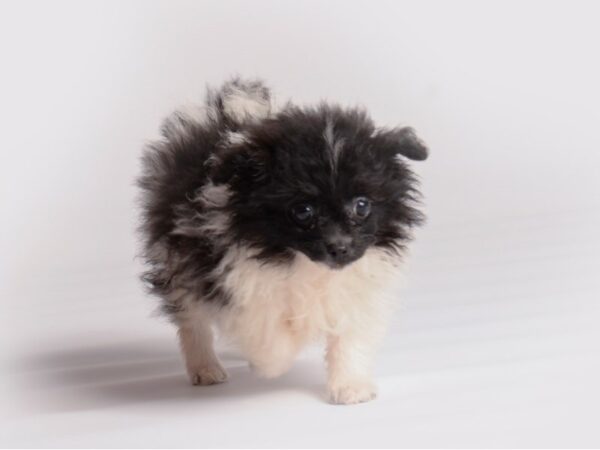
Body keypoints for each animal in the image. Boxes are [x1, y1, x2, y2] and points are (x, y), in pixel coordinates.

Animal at [137, 77, 426, 404]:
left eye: (362, 206)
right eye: (303, 211)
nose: (340, 247)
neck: (305, 262)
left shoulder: (360, 287)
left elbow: (351, 337)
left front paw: (351, 387)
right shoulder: (237, 284)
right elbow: (270, 337)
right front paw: (269, 365)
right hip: (177, 263)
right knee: (192, 320)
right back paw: (206, 368)